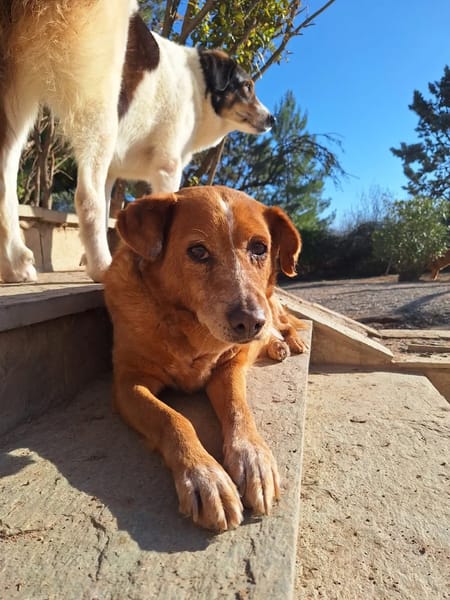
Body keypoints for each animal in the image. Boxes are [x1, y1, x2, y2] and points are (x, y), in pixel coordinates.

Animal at [0, 3, 274, 283]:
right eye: (247, 86)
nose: (271, 119)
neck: (198, 87)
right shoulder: (167, 167)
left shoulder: (112, 172)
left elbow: (108, 211)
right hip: (99, 101)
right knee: (87, 198)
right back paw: (102, 267)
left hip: (17, 98)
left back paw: (15, 266)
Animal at [103, 185, 304, 531]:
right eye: (198, 251)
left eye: (259, 248)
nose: (250, 322)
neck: (190, 326)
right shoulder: (128, 383)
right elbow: (172, 419)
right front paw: (205, 476)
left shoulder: (229, 365)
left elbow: (238, 408)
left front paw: (253, 458)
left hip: (271, 302)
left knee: (284, 322)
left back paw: (287, 342)